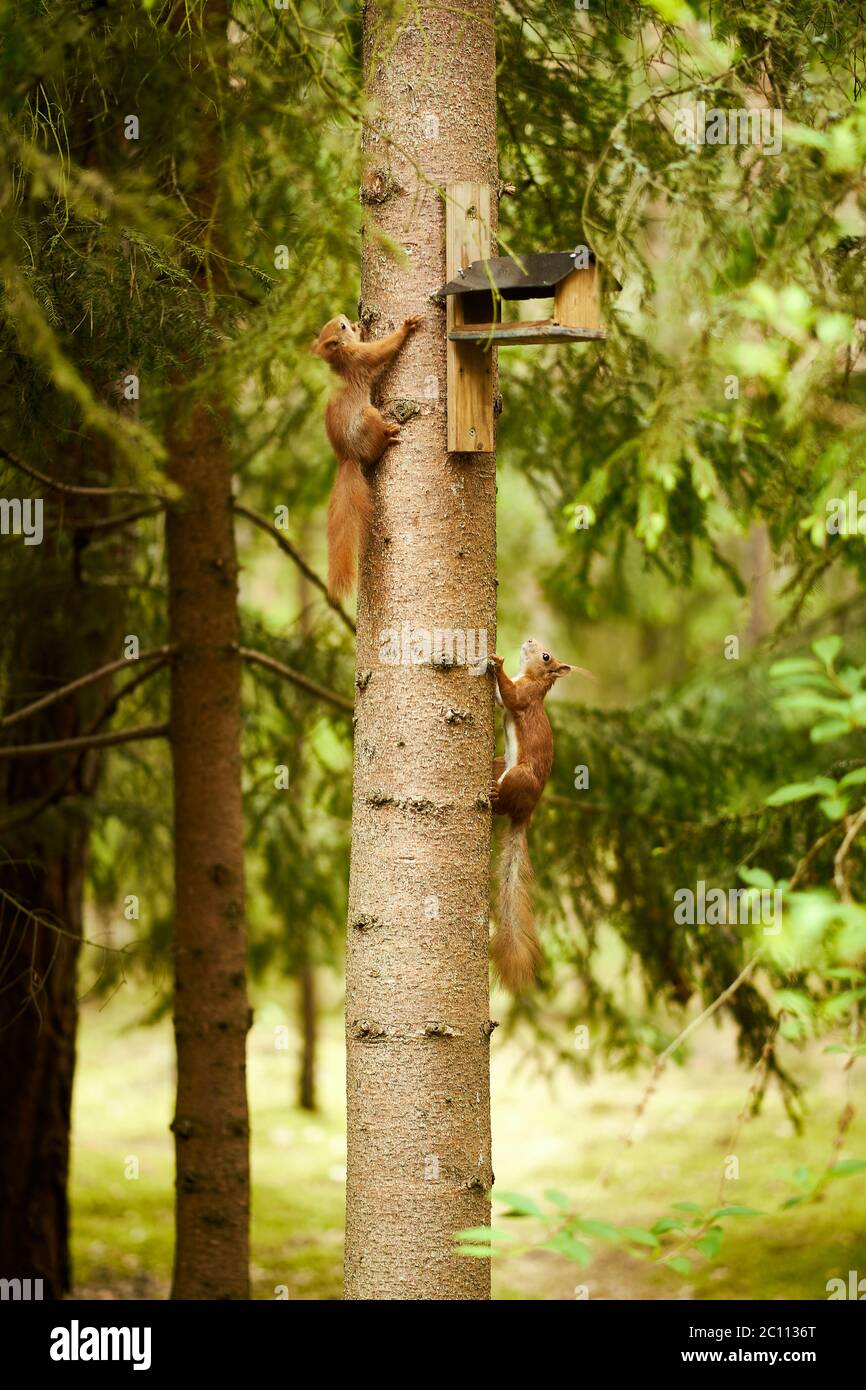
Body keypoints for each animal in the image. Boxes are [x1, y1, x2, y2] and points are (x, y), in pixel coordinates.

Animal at [310, 312, 423, 599]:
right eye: (340, 327)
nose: (345, 317)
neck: (340, 360)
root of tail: (346, 456)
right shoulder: (361, 358)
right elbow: (383, 349)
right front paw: (406, 327)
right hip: (369, 417)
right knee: (373, 453)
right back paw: (387, 438)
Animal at [489, 639, 593, 992]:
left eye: (546, 656)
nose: (530, 641)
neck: (534, 678)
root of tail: (527, 813)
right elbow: (500, 699)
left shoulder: (526, 697)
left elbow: (510, 696)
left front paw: (497, 662)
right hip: (500, 763)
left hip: (519, 777)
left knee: (503, 804)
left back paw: (494, 797)